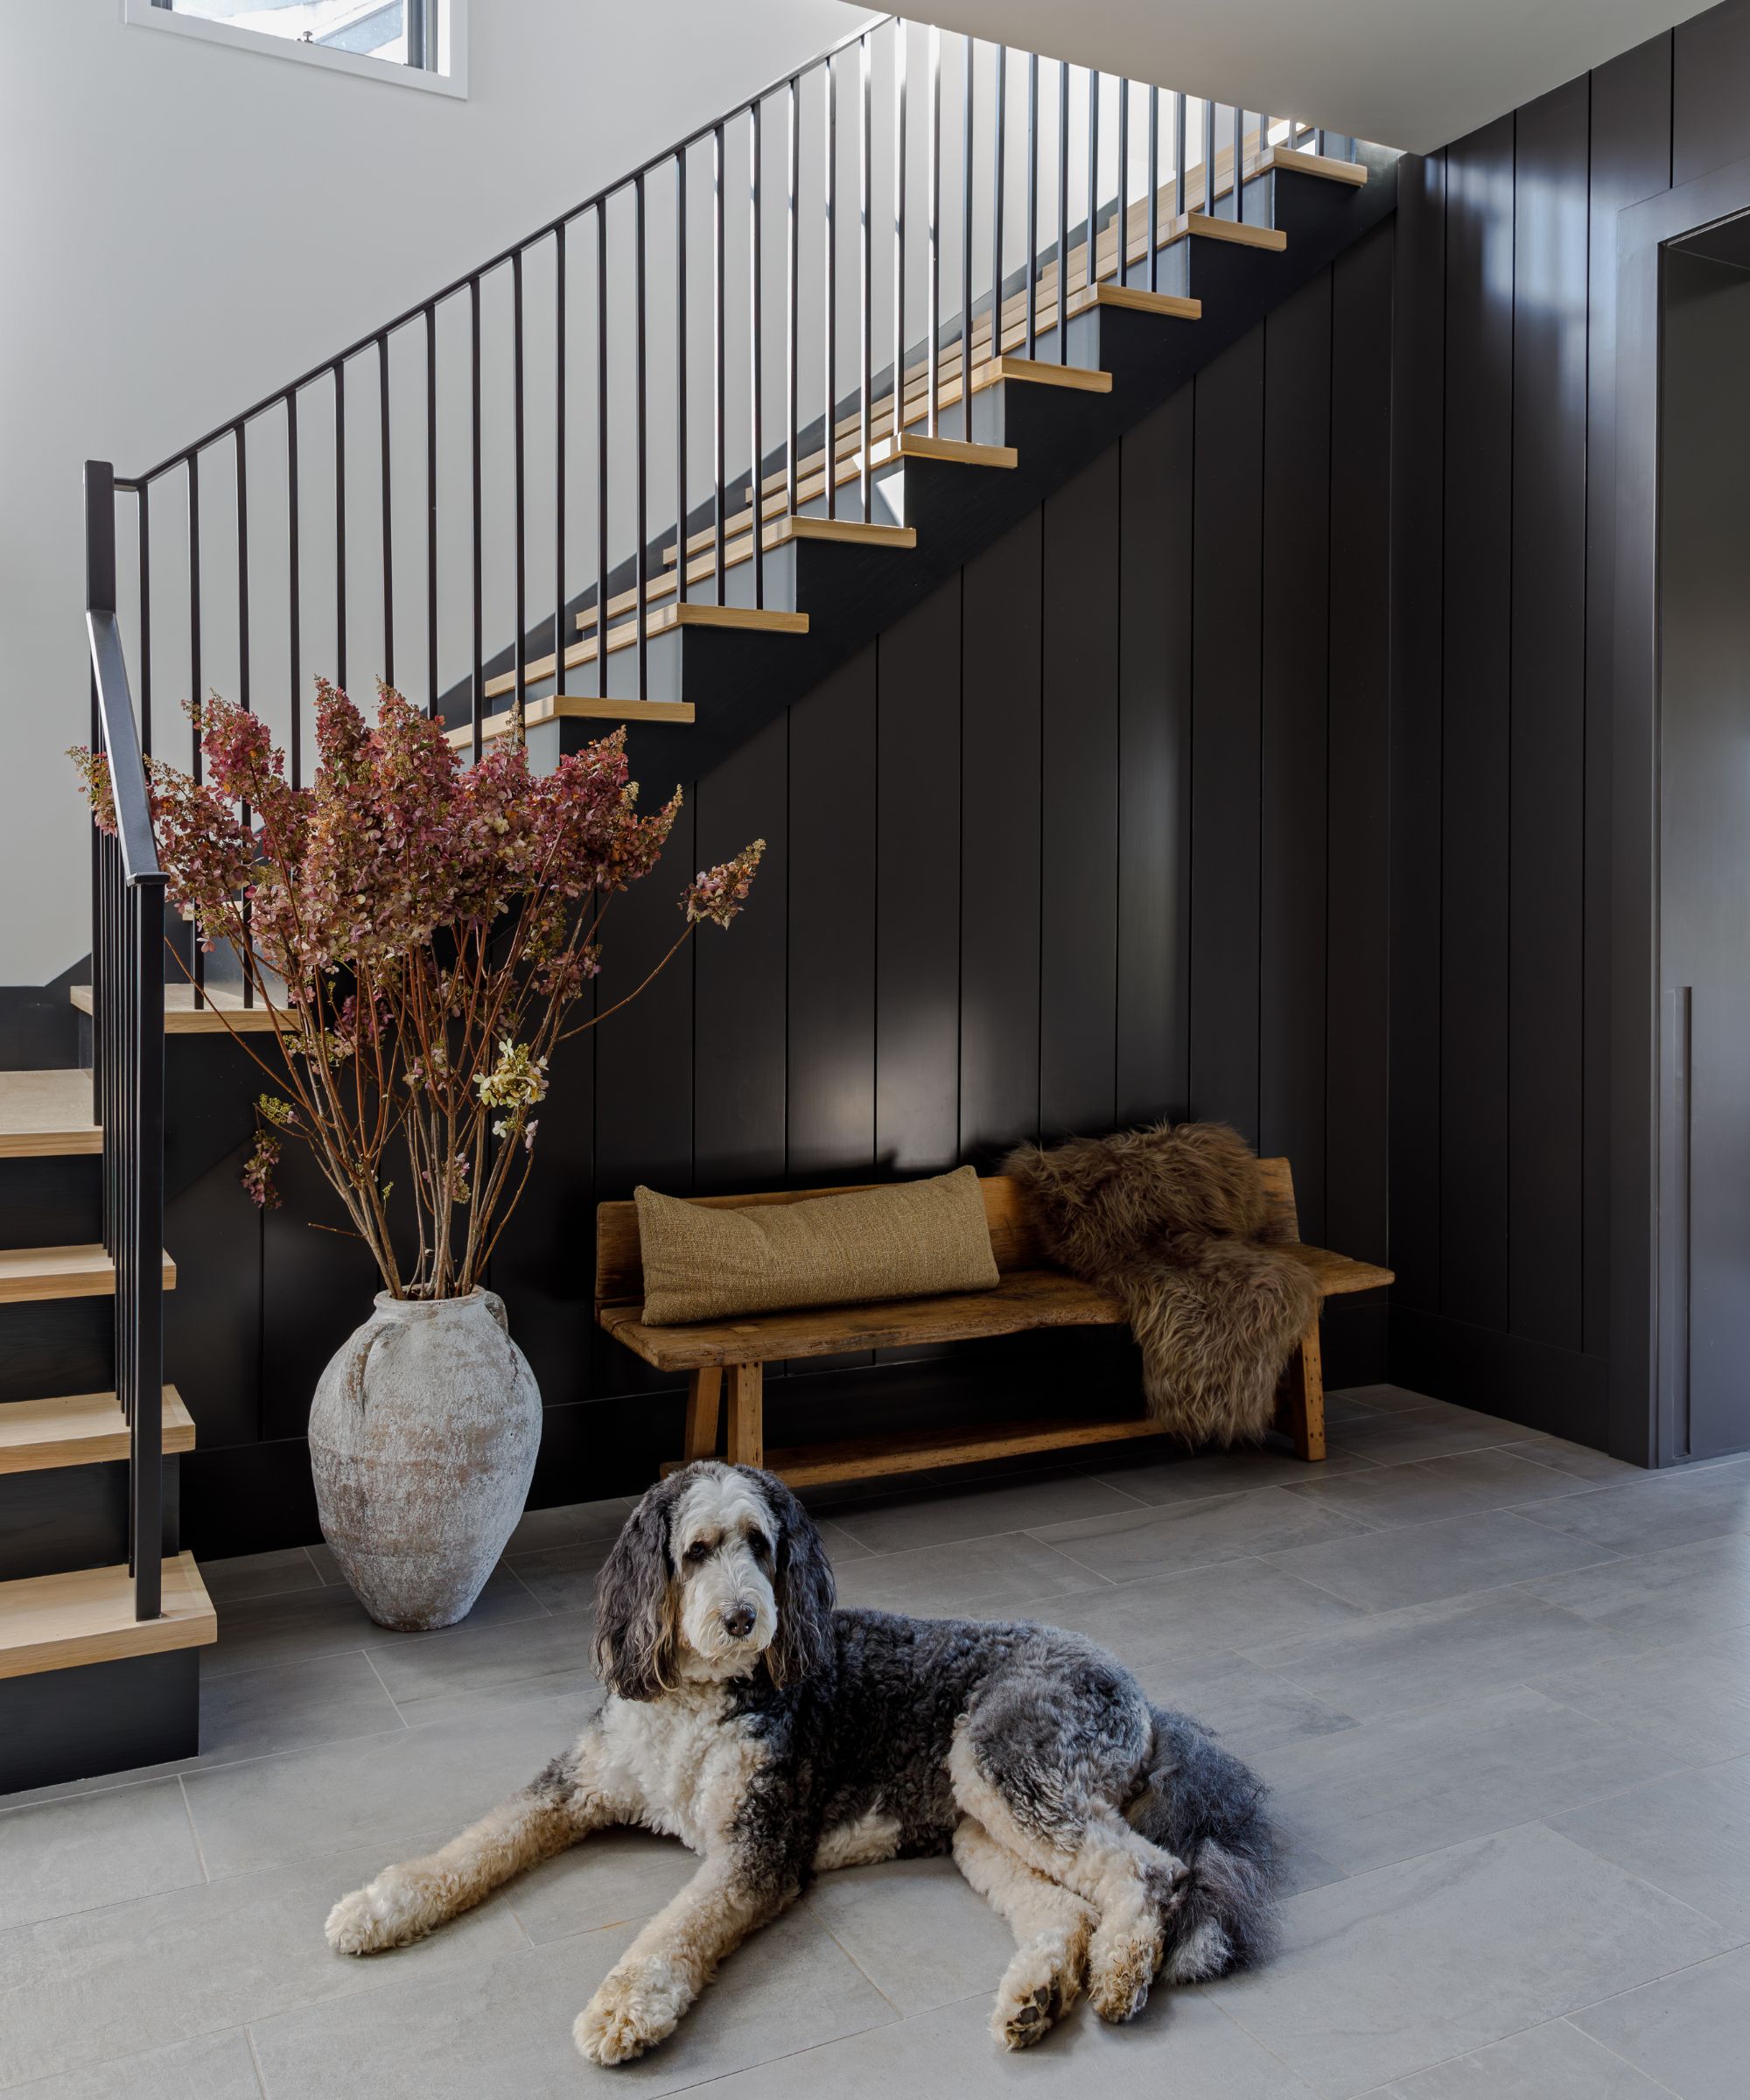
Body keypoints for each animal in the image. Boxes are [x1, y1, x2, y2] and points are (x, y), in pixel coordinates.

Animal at [323, 1461, 1269, 2066]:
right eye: (696, 1550)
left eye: (762, 1545)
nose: (746, 1618)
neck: (699, 1699)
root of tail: (1141, 1697)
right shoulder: (578, 1783)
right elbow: (479, 1842)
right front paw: (382, 1904)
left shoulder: (756, 1847)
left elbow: (676, 1927)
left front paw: (628, 2005)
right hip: (982, 1822)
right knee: (1066, 1908)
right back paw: (1035, 1996)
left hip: (1006, 1763)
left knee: (1149, 1869)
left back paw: (1121, 1973)